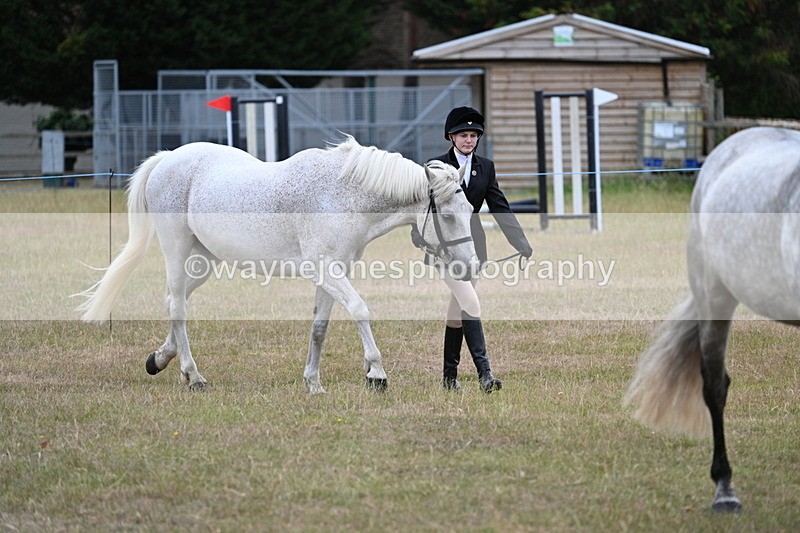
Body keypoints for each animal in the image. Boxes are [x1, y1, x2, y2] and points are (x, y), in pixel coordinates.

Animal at [76, 136, 479, 393]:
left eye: (471, 208)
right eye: (447, 215)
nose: (470, 266)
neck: (341, 195)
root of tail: (169, 158)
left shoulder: (334, 273)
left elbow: (319, 327)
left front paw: (313, 382)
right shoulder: (327, 270)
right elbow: (360, 310)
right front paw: (376, 373)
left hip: (204, 260)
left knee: (175, 301)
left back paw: (163, 360)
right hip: (176, 248)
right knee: (177, 305)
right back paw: (194, 376)